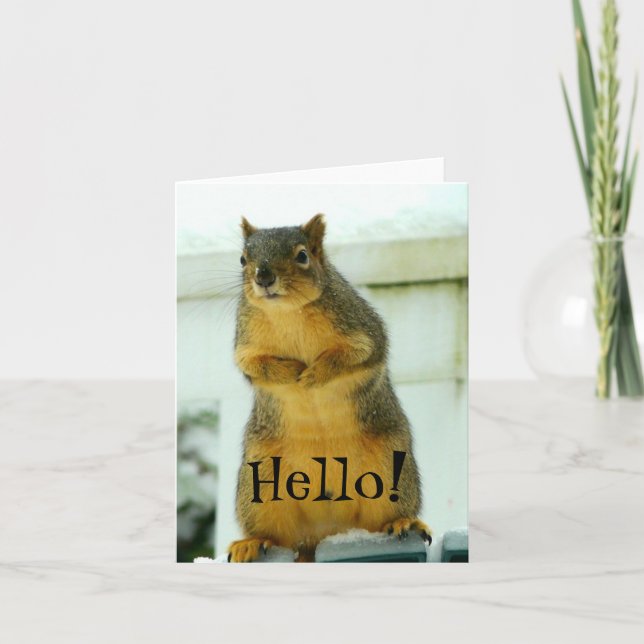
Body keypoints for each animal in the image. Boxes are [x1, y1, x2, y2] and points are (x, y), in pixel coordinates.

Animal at [228, 214, 430, 562]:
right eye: (243, 259)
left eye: (302, 256)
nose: (264, 276)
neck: (288, 313)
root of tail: (326, 530)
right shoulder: (246, 344)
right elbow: (255, 367)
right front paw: (291, 371)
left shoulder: (360, 327)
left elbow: (356, 354)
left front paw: (313, 374)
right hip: (261, 483)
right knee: (273, 533)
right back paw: (253, 541)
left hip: (390, 468)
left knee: (384, 516)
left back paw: (401, 522)